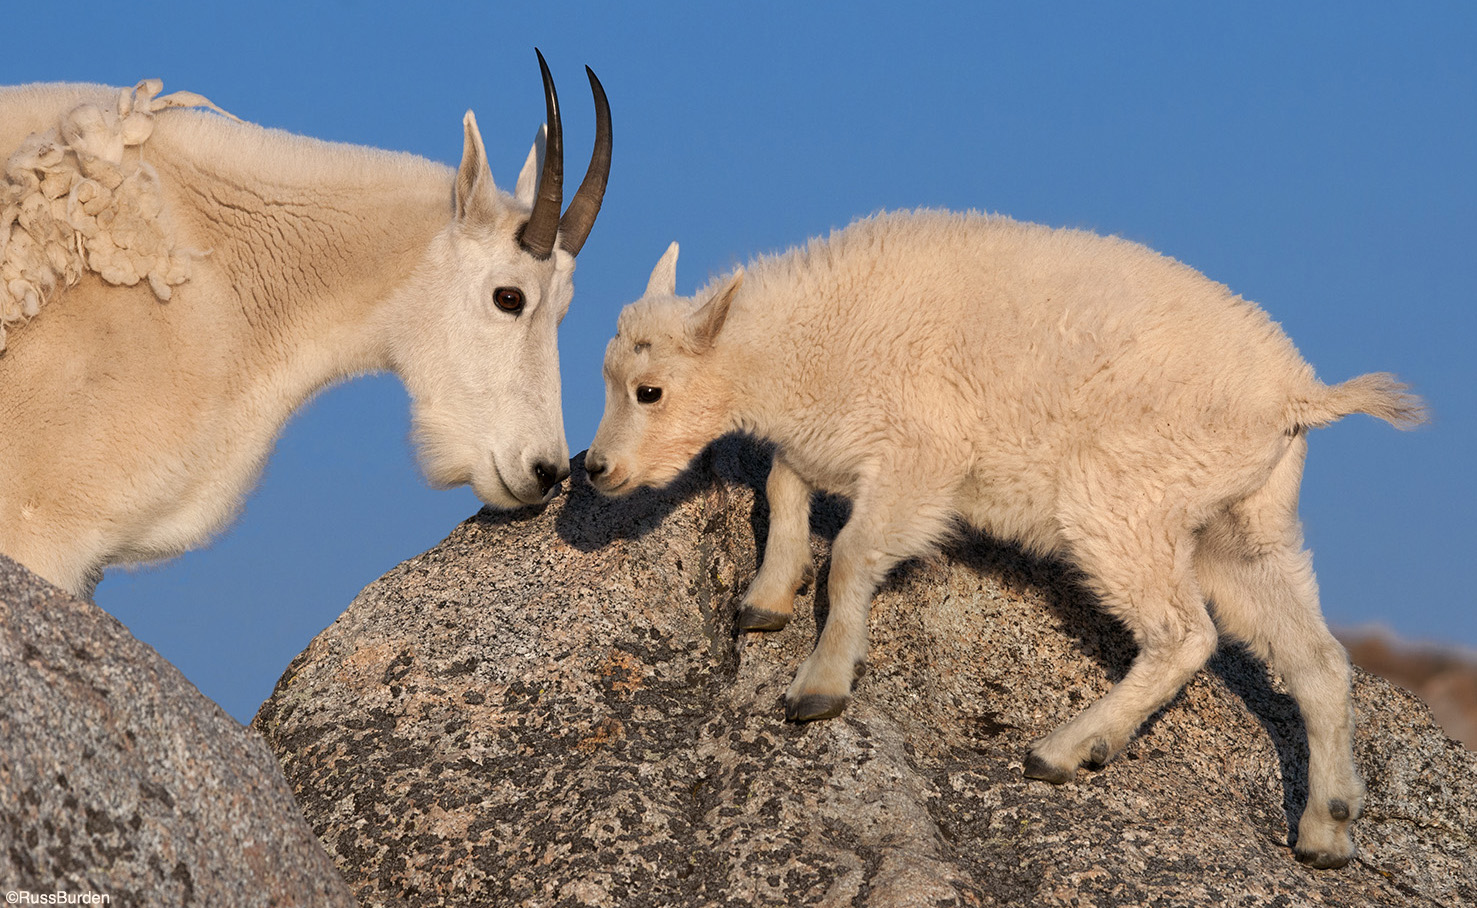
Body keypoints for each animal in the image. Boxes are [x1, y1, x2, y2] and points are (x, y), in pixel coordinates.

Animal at [581, 209, 1423, 868]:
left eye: (648, 390)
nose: (595, 469)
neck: (809, 342)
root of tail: (1297, 396)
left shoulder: (921, 460)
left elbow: (850, 555)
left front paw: (819, 687)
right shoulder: (833, 444)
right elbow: (785, 483)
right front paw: (763, 602)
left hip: (1122, 503)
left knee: (1184, 633)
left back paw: (1063, 750)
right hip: (1240, 527)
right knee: (1316, 659)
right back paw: (1325, 831)